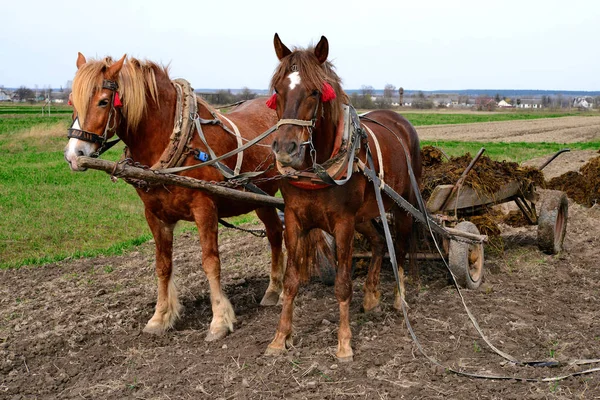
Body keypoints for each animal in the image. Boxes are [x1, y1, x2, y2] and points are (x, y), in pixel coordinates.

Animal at [63, 53, 286, 340]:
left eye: (103, 101)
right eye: (72, 100)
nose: (73, 154)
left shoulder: (205, 208)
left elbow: (210, 262)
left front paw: (219, 320)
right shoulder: (155, 215)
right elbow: (162, 265)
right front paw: (160, 317)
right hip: (260, 198)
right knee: (275, 234)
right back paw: (273, 290)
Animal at [264, 33, 420, 360]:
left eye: (314, 92)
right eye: (277, 91)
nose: (285, 149)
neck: (317, 170)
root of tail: (398, 120)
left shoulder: (343, 223)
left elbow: (343, 284)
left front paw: (344, 342)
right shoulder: (295, 220)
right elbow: (291, 281)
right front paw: (280, 337)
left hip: (402, 206)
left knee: (398, 247)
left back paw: (399, 299)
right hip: (365, 214)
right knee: (378, 242)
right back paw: (372, 295)